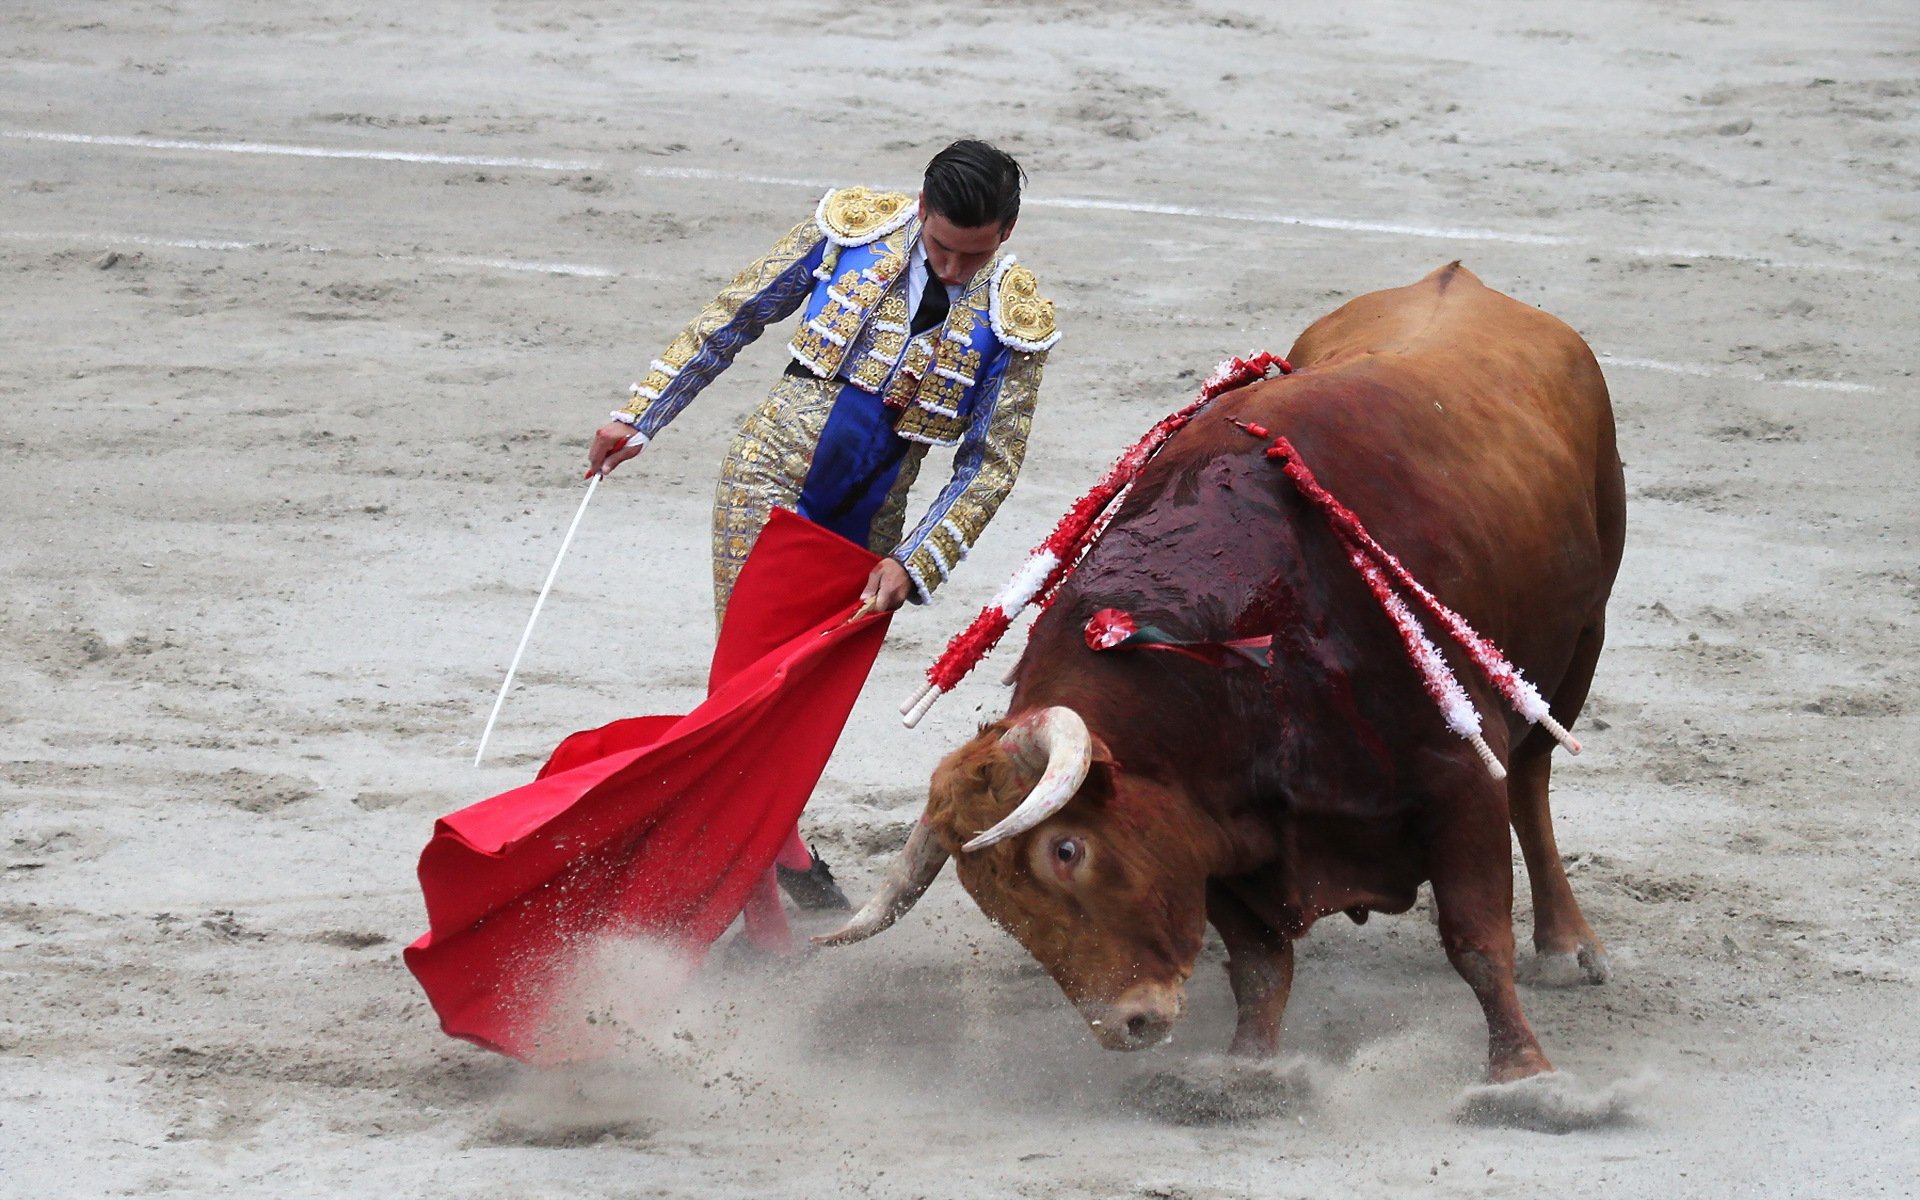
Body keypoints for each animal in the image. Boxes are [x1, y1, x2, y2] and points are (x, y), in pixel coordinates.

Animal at [817, 264, 1628, 1082]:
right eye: (990, 899)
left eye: (1068, 850)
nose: (1128, 1024)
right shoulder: (1217, 819)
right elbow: (1261, 966)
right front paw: (1247, 1073)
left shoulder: (1458, 775)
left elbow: (1477, 940)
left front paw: (1520, 1072)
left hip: (1582, 640)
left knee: (1531, 778)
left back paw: (1567, 945)